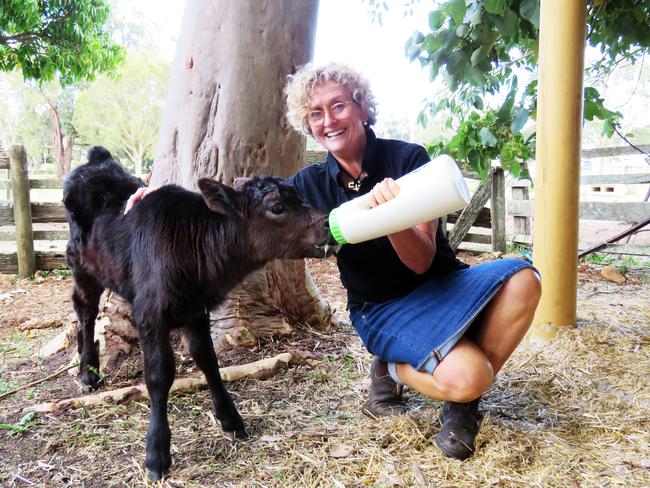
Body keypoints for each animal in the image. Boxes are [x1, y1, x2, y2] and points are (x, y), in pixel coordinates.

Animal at [64, 146, 334, 480]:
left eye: (299, 195)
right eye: (277, 206)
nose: (328, 223)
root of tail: (96, 159)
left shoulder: (196, 308)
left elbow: (208, 359)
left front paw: (231, 420)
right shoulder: (151, 311)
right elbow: (159, 374)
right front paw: (156, 452)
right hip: (82, 266)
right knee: (85, 310)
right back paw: (88, 372)